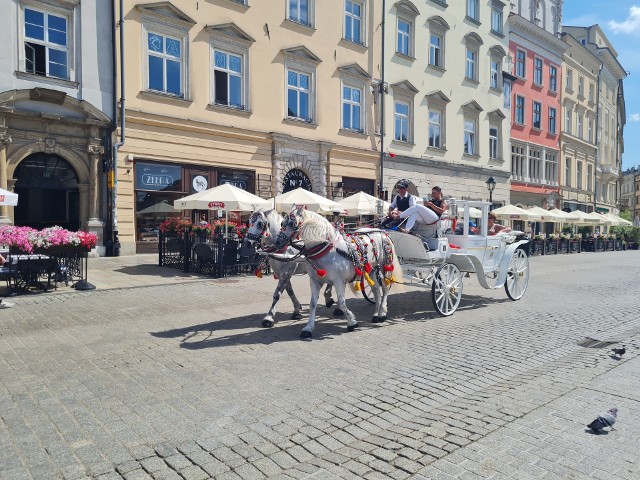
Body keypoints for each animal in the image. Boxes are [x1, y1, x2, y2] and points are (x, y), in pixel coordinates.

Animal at [272, 206, 402, 338]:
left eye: (293, 224)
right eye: (282, 223)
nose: (277, 242)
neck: (326, 249)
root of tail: (381, 231)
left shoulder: (339, 281)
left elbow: (342, 302)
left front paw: (352, 322)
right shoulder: (315, 281)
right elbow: (313, 303)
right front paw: (308, 328)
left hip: (384, 266)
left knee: (385, 288)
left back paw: (382, 313)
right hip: (371, 270)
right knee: (376, 289)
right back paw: (376, 314)